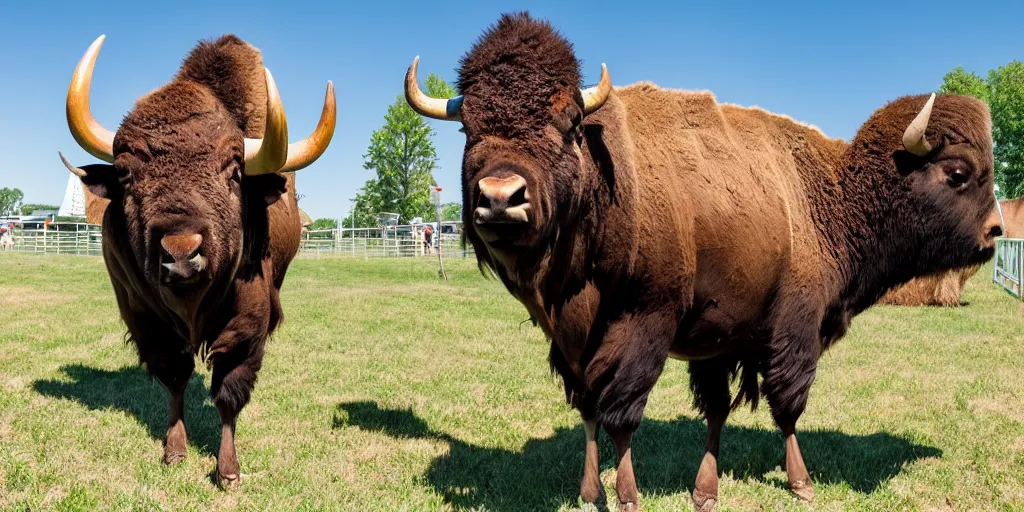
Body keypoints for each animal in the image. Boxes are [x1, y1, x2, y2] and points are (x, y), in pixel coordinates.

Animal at [58, 35, 335, 483]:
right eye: (126, 173)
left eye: (234, 170)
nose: (181, 253)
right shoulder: (144, 316)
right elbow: (175, 378)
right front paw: (174, 451)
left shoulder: (248, 323)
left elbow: (228, 391)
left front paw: (228, 471)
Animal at [405, 12, 999, 512]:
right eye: (468, 127)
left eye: (568, 122)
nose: (500, 198)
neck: (830, 196)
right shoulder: (642, 330)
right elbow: (619, 412)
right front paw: (619, 495)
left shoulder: (720, 334)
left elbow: (722, 409)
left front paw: (706, 491)